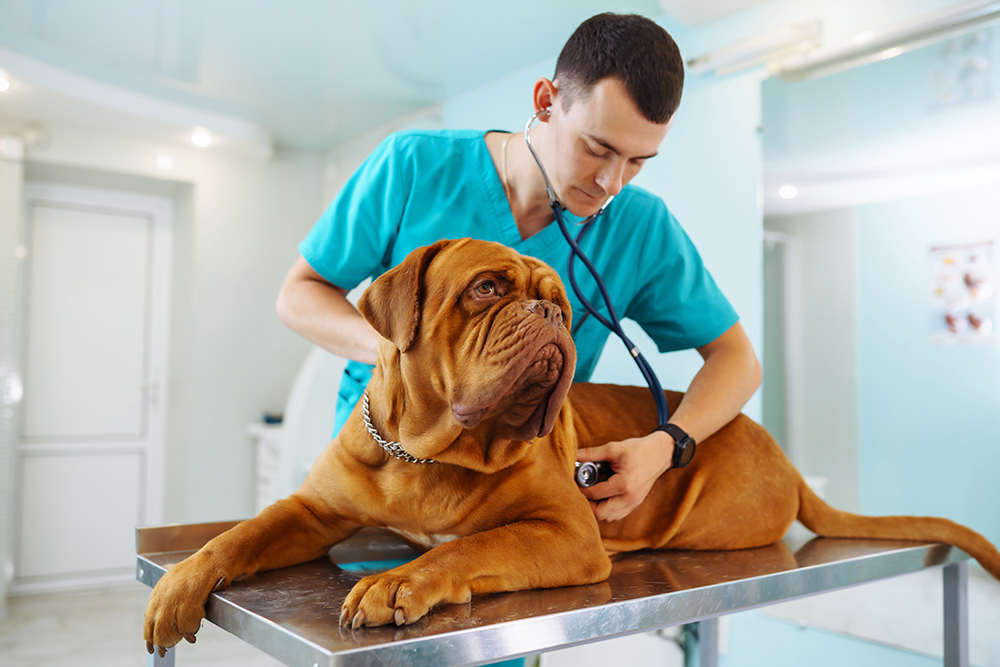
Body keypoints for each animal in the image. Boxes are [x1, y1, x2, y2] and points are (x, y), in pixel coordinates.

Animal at [145, 237, 1000, 656]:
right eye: (487, 288)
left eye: (561, 299)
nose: (551, 316)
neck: (431, 449)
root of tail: (787, 458)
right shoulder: (311, 511)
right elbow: (237, 536)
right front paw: (179, 581)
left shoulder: (563, 532)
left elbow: (463, 547)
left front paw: (400, 581)